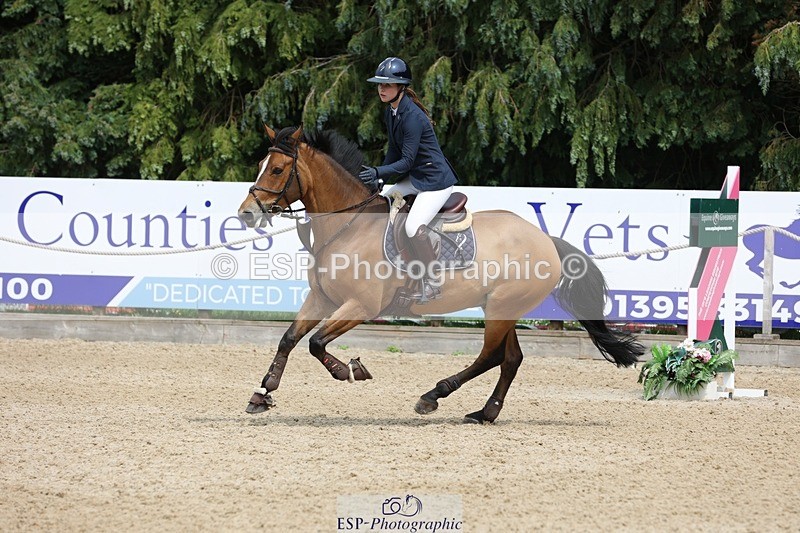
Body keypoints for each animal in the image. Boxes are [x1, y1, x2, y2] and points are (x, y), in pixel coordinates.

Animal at [237, 125, 643, 423]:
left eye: (277, 169)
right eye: (260, 164)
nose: (246, 214)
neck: (349, 225)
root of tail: (545, 240)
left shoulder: (361, 306)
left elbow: (316, 343)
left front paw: (349, 371)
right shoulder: (321, 298)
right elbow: (289, 339)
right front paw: (262, 393)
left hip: (501, 307)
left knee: (490, 356)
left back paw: (433, 396)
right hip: (501, 307)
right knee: (510, 359)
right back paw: (485, 413)